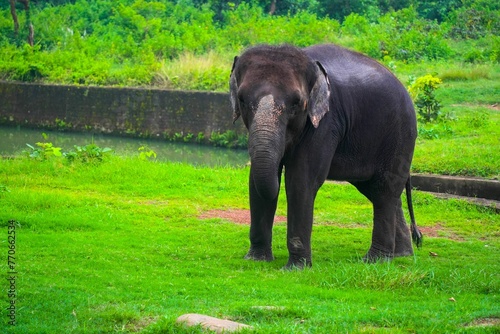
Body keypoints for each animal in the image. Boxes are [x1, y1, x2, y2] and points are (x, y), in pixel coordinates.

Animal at [229, 44, 422, 268]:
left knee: (385, 189)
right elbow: (255, 180)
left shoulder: (325, 123)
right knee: (377, 190)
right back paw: (401, 254)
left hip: (400, 134)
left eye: (296, 103)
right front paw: (257, 259)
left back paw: (375, 260)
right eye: (242, 100)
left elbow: (301, 180)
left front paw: (296, 268)